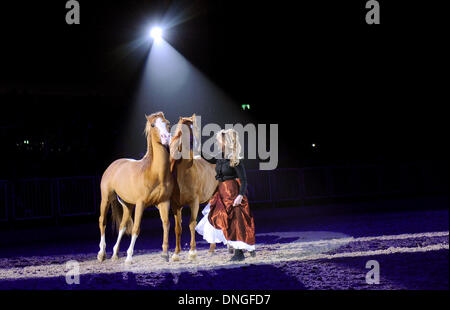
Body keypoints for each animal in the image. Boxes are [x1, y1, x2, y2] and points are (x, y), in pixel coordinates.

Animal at [97, 111, 174, 264]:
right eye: (153, 125)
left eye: (167, 123)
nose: (166, 138)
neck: (155, 173)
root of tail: (114, 165)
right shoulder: (141, 204)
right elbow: (136, 229)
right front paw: (129, 257)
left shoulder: (164, 203)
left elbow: (166, 224)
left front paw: (165, 254)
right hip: (106, 198)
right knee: (102, 221)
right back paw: (102, 254)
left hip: (128, 205)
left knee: (122, 226)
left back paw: (115, 254)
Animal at [169, 113, 218, 260]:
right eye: (183, 130)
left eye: (195, 128)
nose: (195, 145)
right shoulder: (175, 206)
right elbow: (177, 228)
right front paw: (176, 253)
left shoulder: (194, 203)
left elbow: (192, 224)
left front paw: (192, 251)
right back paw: (211, 249)